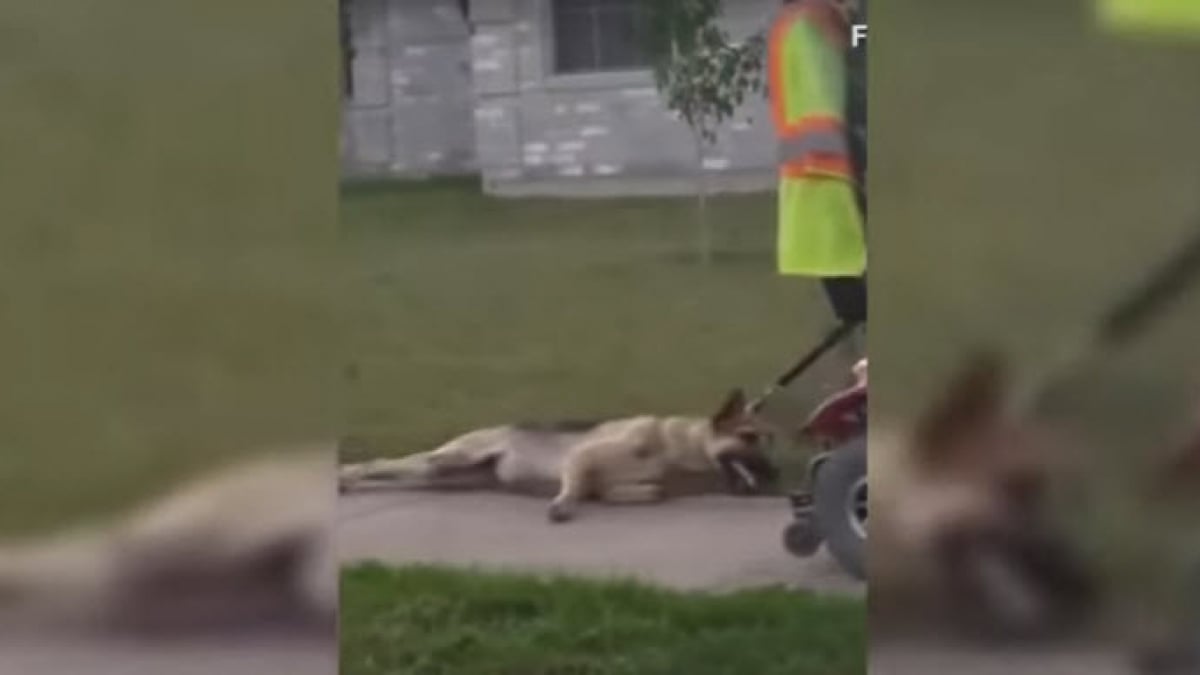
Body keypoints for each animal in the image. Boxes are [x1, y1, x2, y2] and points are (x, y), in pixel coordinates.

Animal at [336, 389, 777, 521]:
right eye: (748, 437)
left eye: (767, 441)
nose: (774, 476)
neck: (674, 450)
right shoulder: (581, 457)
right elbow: (576, 484)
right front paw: (565, 503)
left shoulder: (637, 484)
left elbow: (643, 491)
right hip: (449, 460)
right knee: (380, 464)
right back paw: (346, 476)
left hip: (446, 477)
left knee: (396, 474)